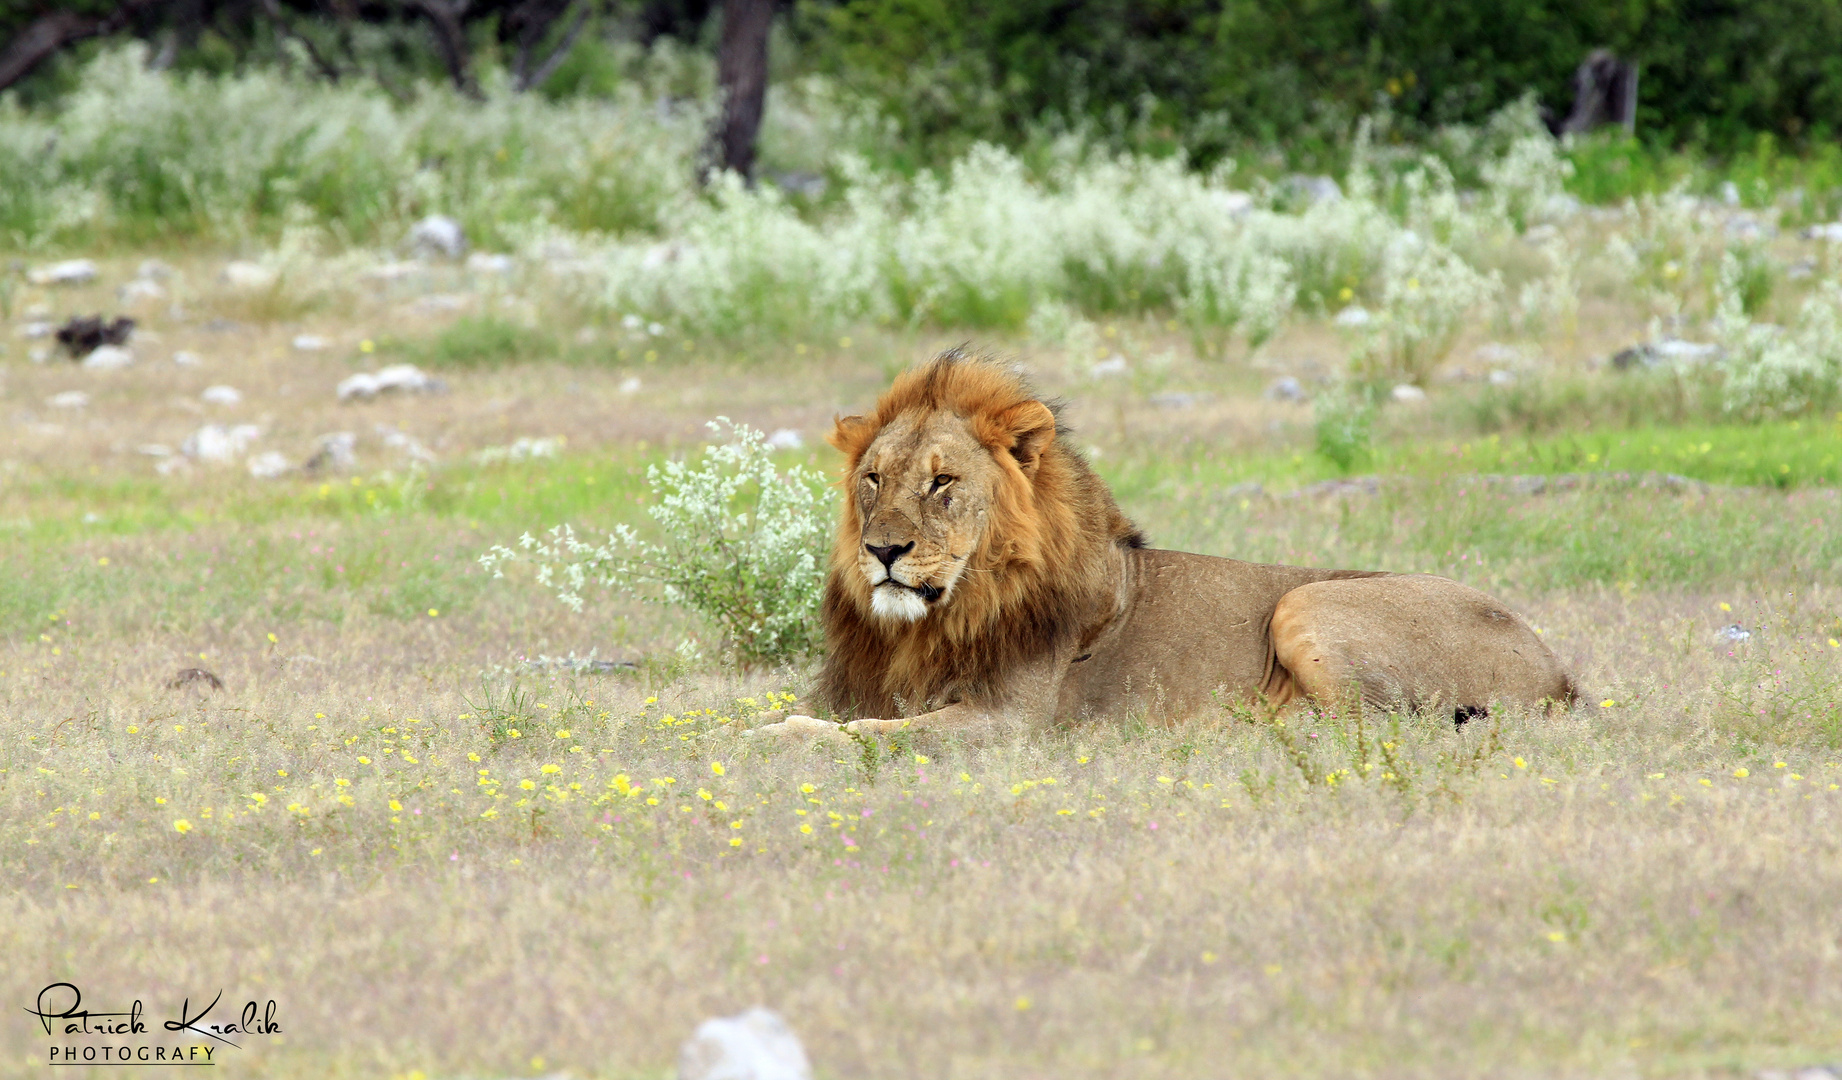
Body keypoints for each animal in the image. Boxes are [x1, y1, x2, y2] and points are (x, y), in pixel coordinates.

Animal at [755, 353, 1576, 740]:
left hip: (1305, 602)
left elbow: (867, 736)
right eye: (874, 479)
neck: (929, 625)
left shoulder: (1010, 723)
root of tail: (1562, 674)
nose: (883, 551)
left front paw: (778, 740)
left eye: (942, 481)